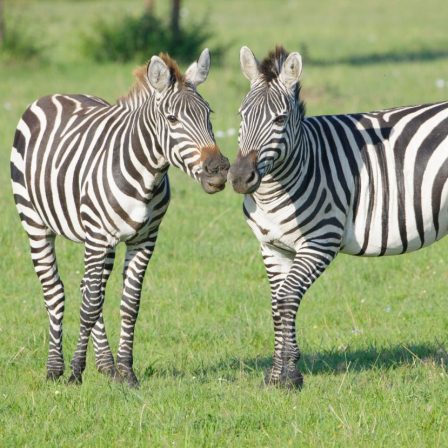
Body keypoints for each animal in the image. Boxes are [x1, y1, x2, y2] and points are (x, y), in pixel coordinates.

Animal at [10, 49, 230, 387]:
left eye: (209, 114)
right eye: (172, 119)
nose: (218, 171)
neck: (148, 174)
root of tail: (53, 95)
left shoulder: (144, 239)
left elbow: (129, 304)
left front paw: (126, 372)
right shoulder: (98, 236)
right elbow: (89, 306)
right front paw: (75, 372)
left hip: (104, 241)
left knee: (90, 289)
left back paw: (106, 365)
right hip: (35, 221)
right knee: (56, 291)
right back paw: (55, 367)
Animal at [228, 45, 448, 388]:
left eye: (279, 119)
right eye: (241, 115)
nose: (239, 178)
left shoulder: (320, 242)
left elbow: (288, 298)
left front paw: (289, 376)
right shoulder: (272, 247)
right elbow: (277, 304)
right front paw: (278, 375)